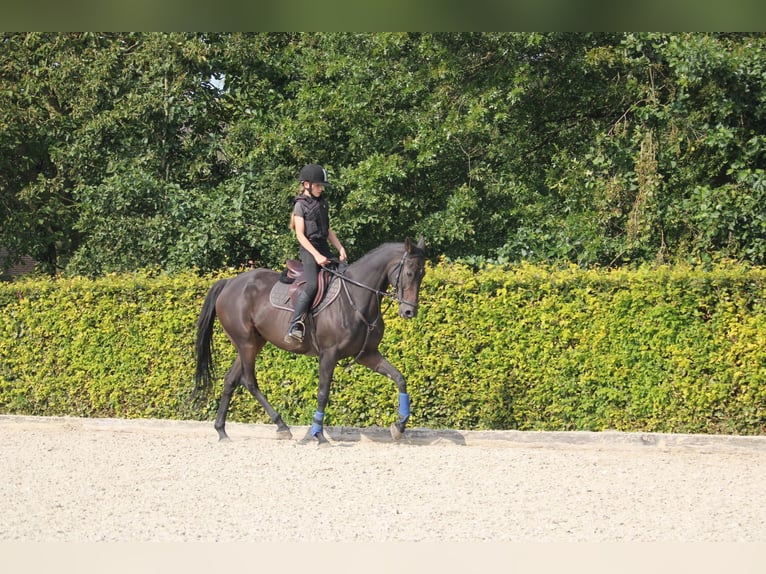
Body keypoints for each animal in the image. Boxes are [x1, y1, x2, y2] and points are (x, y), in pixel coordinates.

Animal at [195, 238, 428, 446]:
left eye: (422, 274)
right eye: (409, 273)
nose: (409, 311)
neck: (356, 297)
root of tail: (229, 282)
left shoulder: (368, 354)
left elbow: (399, 378)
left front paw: (399, 427)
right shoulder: (329, 355)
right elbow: (323, 393)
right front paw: (319, 435)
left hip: (252, 342)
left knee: (231, 380)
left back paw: (223, 431)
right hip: (246, 343)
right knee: (249, 381)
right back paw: (280, 426)